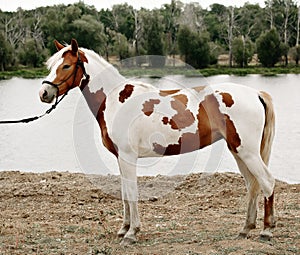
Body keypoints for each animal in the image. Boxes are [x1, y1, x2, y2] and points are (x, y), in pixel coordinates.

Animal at [39, 38, 276, 244]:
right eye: (52, 65)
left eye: (66, 66)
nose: (44, 93)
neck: (116, 100)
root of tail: (256, 93)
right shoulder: (120, 158)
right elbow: (125, 192)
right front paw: (124, 228)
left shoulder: (127, 156)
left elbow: (132, 192)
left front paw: (131, 233)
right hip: (237, 150)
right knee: (252, 185)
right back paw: (245, 229)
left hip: (247, 152)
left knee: (266, 182)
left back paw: (266, 231)